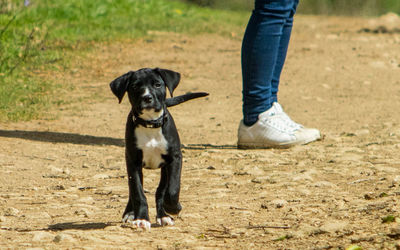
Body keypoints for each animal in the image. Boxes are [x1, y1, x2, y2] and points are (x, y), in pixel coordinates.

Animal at [110, 67, 208, 230]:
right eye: (135, 87)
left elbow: (172, 189)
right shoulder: (133, 161)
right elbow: (137, 192)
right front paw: (141, 218)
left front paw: (173, 208)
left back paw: (164, 215)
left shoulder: (174, 159)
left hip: (164, 168)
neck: (150, 124)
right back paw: (130, 213)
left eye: (157, 84)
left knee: (161, 191)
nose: (147, 98)